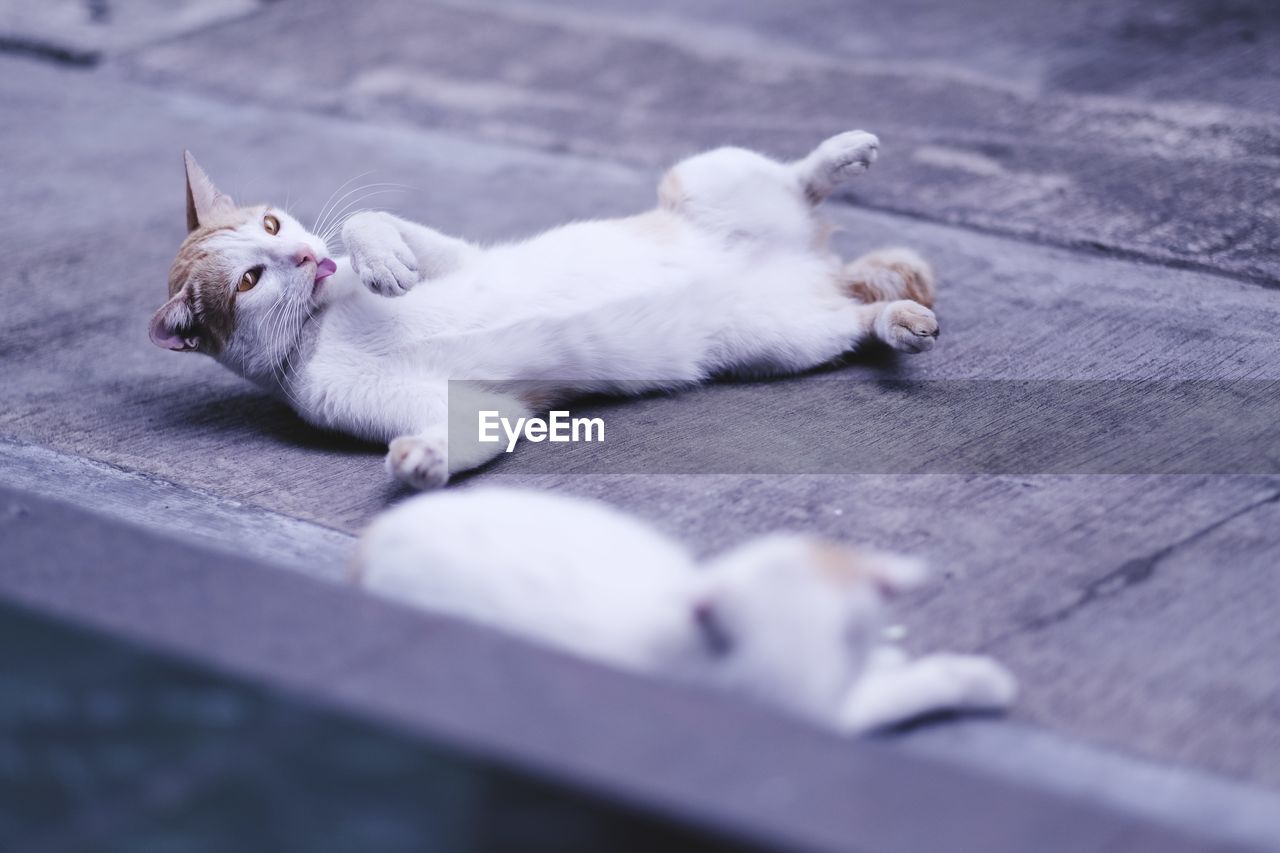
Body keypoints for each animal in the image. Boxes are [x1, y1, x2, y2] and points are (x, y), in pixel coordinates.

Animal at [157, 136, 942, 489]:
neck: (320, 326)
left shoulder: (453, 254)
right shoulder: (471, 408)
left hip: (706, 178)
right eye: (251, 279)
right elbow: (457, 432)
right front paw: (421, 460)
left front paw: (381, 262)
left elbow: (371, 223)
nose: (300, 254)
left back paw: (839, 157)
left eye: (270, 224)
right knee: (852, 317)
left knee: (796, 182)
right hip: (777, 343)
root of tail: (813, 263)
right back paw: (899, 320)